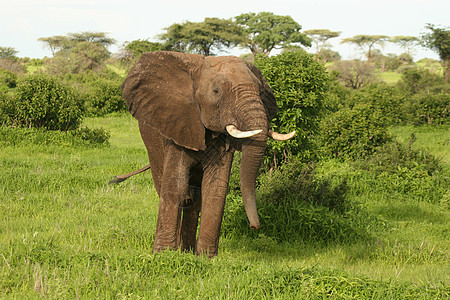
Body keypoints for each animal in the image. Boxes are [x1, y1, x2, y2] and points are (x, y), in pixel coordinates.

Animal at [113, 51, 296, 258]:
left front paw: (207, 258)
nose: (254, 227)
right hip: (152, 144)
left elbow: (215, 188)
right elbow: (175, 186)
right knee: (172, 189)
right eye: (216, 91)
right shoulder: (178, 125)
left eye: (260, 91)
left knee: (194, 199)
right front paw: (163, 255)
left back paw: (187, 251)